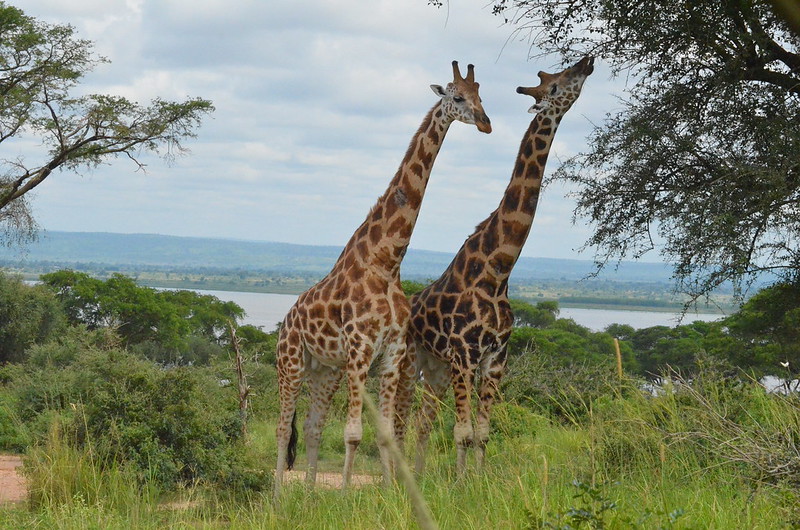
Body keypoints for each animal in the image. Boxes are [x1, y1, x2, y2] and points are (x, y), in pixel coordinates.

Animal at [272, 59, 490, 498]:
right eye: (457, 97)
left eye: (481, 95)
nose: (485, 122)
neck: (387, 262)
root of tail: (285, 322)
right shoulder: (360, 349)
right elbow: (353, 433)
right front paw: (344, 497)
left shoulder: (390, 353)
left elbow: (387, 432)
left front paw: (390, 493)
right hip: (291, 363)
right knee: (282, 427)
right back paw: (277, 498)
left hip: (325, 370)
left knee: (312, 426)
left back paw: (308, 495)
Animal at [398, 55, 592, 472]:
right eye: (555, 84)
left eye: (564, 74)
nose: (588, 62)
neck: (498, 270)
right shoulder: (465, 355)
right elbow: (463, 432)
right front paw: (461, 482)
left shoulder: (495, 358)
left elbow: (483, 433)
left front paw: (477, 480)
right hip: (413, 361)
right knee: (404, 418)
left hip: (436, 368)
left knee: (423, 419)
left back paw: (419, 475)